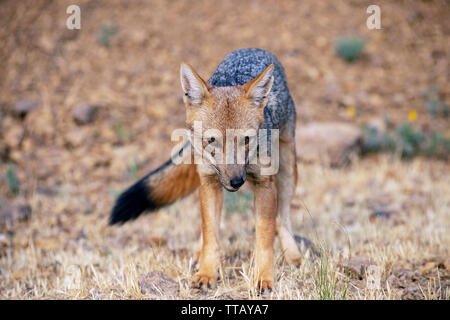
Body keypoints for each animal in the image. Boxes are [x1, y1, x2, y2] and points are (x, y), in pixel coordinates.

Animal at [110, 48, 302, 292]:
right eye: (212, 140)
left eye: (246, 140)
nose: (237, 182)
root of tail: (254, 49)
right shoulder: (208, 183)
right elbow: (211, 233)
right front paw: (207, 273)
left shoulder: (264, 184)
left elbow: (265, 238)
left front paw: (264, 278)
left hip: (287, 170)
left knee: (282, 216)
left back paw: (293, 253)